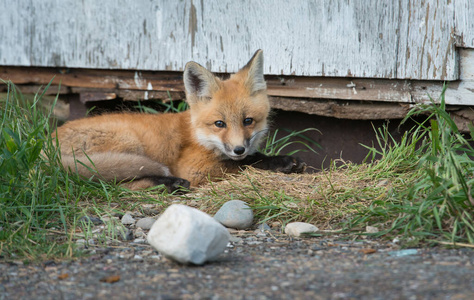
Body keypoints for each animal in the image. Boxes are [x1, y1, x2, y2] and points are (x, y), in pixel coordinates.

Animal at [54, 50, 308, 191]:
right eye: (219, 124)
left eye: (248, 121)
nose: (238, 149)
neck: (199, 136)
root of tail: (48, 146)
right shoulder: (194, 169)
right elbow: (245, 163)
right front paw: (278, 162)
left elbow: (251, 158)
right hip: (129, 142)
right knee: (114, 184)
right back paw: (170, 184)